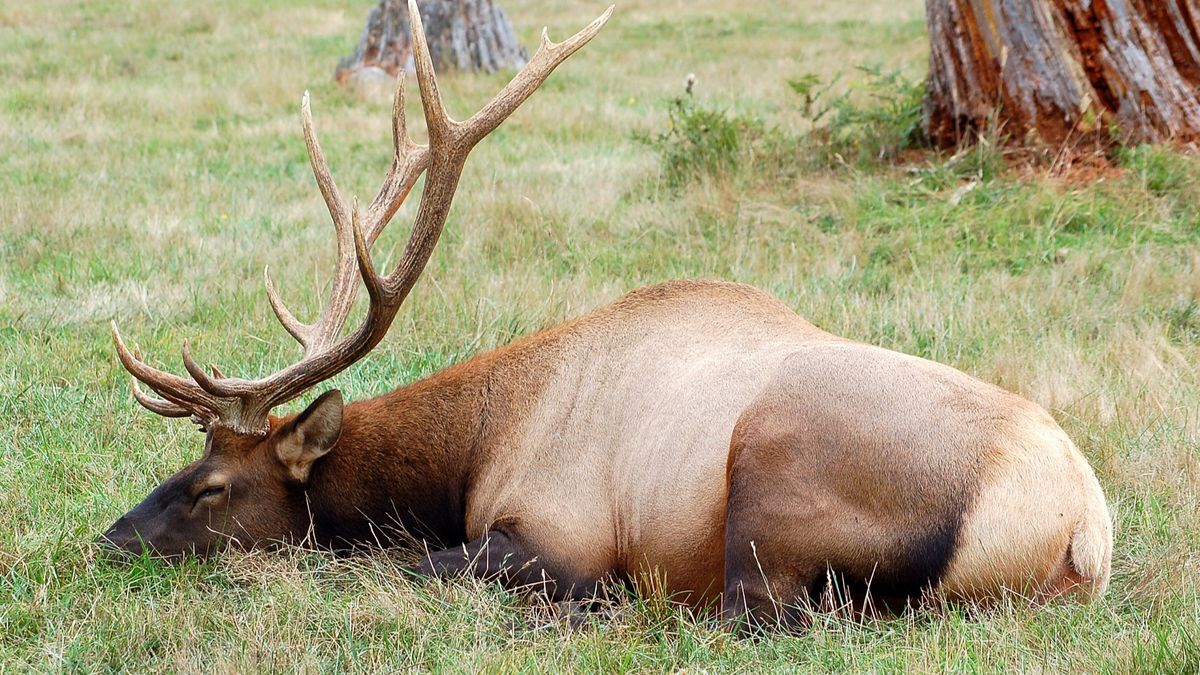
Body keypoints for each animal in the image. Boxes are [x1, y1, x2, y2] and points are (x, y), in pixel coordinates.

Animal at [96, 2, 1113, 629]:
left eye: (212, 486)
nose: (108, 539)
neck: (472, 451)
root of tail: (1083, 534)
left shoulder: (554, 532)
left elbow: (406, 562)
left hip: (776, 470)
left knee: (760, 611)